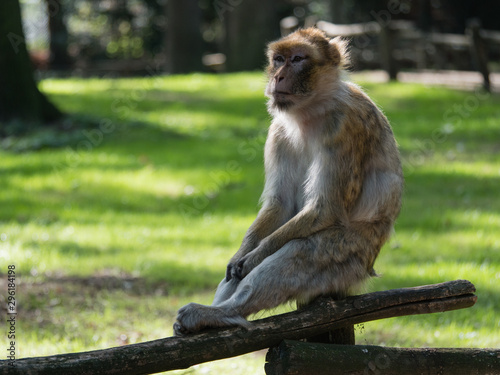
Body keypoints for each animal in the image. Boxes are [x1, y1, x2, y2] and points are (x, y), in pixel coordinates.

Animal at [174, 27, 404, 336]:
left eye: (297, 59)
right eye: (278, 59)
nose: (278, 76)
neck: (311, 111)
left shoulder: (345, 127)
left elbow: (324, 208)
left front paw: (256, 256)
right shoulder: (278, 133)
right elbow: (280, 204)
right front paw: (243, 252)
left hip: (351, 258)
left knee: (302, 249)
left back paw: (220, 313)